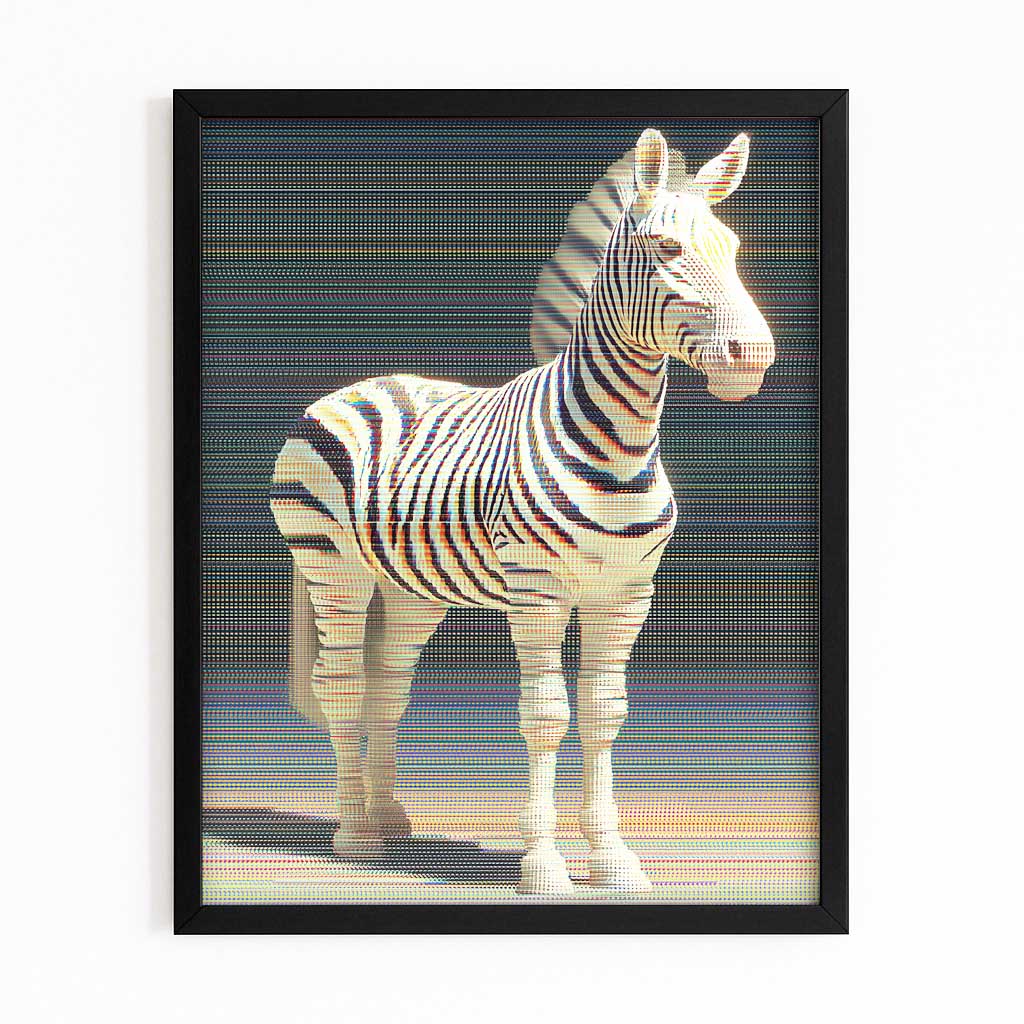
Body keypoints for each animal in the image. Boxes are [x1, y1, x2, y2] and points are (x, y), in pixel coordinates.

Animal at [269, 129, 775, 895]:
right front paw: (543, 865)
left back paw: (390, 819)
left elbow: (603, 713)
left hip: (411, 588)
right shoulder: (538, 592)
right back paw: (354, 834)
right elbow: (545, 716)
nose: (754, 356)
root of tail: (360, 385)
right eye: (666, 248)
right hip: (334, 569)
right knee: (343, 686)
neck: (619, 441)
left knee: (389, 687)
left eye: (735, 247)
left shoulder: (626, 593)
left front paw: (613, 859)